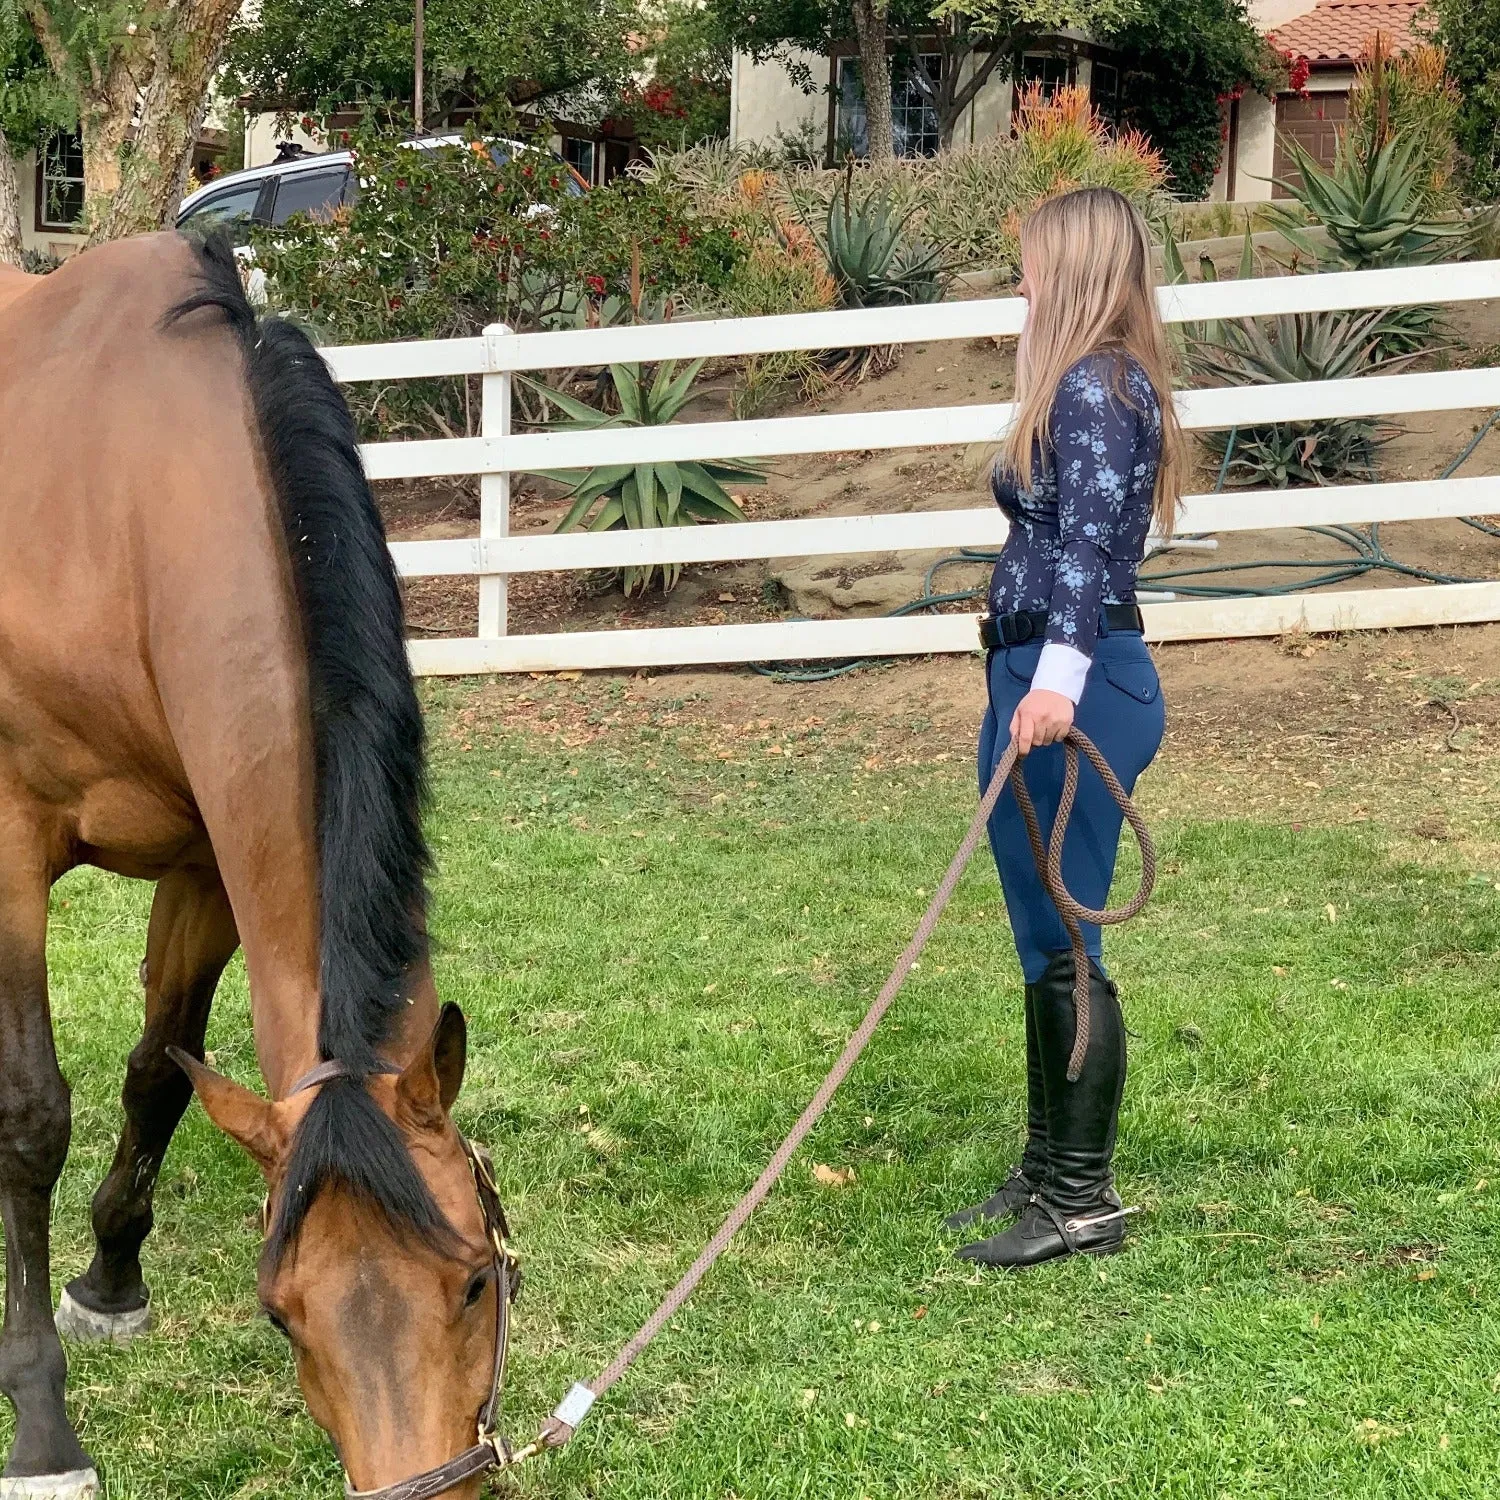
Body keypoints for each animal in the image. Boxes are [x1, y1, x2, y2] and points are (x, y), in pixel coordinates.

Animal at [0, 234, 504, 1500]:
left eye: (476, 1277)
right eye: (282, 1316)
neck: (118, 511)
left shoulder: (209, 861)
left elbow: (158, 1075)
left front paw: (109, 1282)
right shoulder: (12, 846)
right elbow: (31, 1114)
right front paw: (42, 1426)